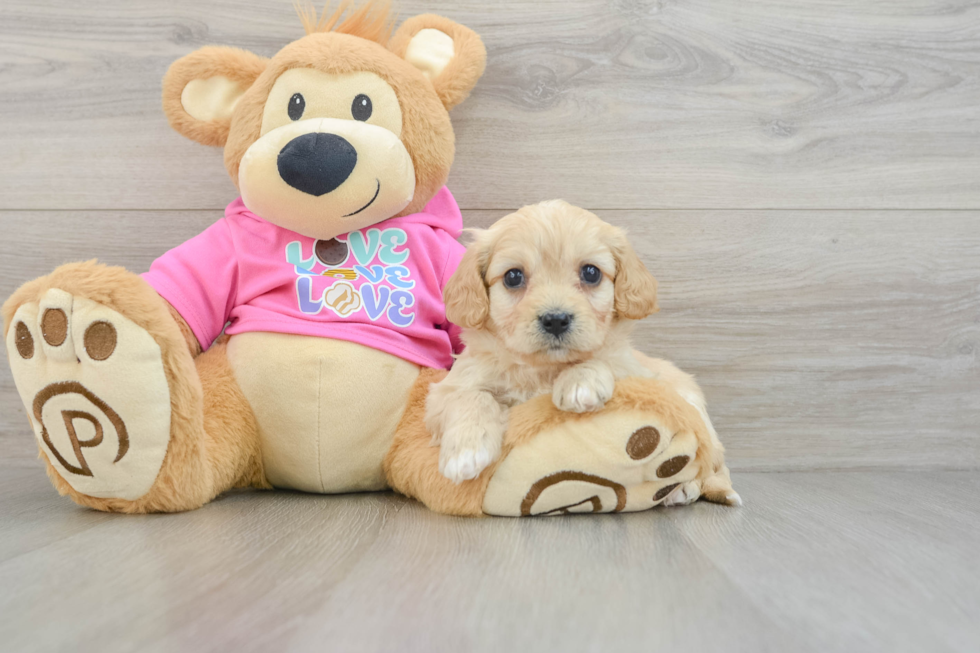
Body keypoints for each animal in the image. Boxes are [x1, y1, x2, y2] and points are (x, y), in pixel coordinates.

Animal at [428, 200, 720, 488]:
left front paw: (580, 382)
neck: (544, 369)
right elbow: (469, 396)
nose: (556, 320)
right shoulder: (451, 386)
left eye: (591, 273)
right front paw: (466, 451)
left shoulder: (635, 372)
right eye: (513, 277)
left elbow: (604, 356)